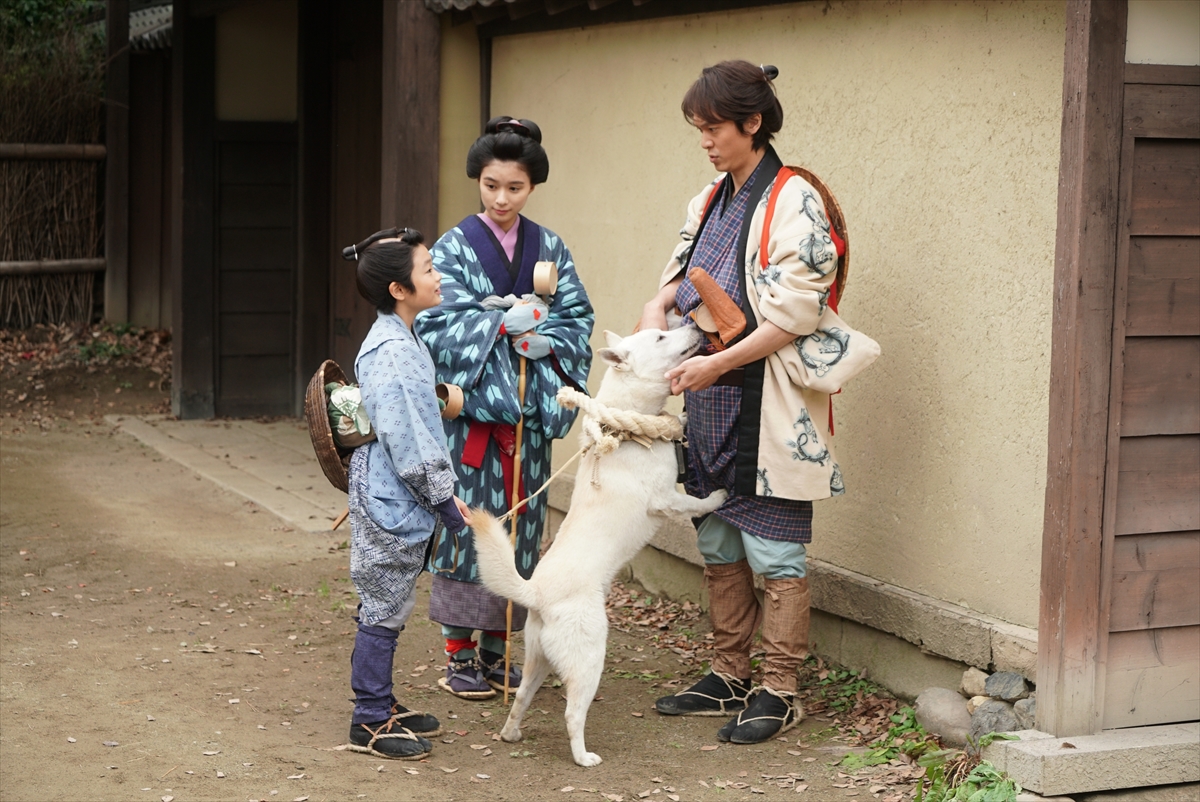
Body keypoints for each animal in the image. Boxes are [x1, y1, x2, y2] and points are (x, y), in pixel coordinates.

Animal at [472, 326, 724, 768]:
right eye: (661, 336)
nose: (694, 324)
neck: (627, 428)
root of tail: (536, 592)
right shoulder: (664, 499)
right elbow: (695, 503)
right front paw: (719, 498)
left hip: (538, 660)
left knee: (520, 699)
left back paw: (511, 733)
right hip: (589, 659)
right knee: (573, 714)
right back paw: (583, 756)